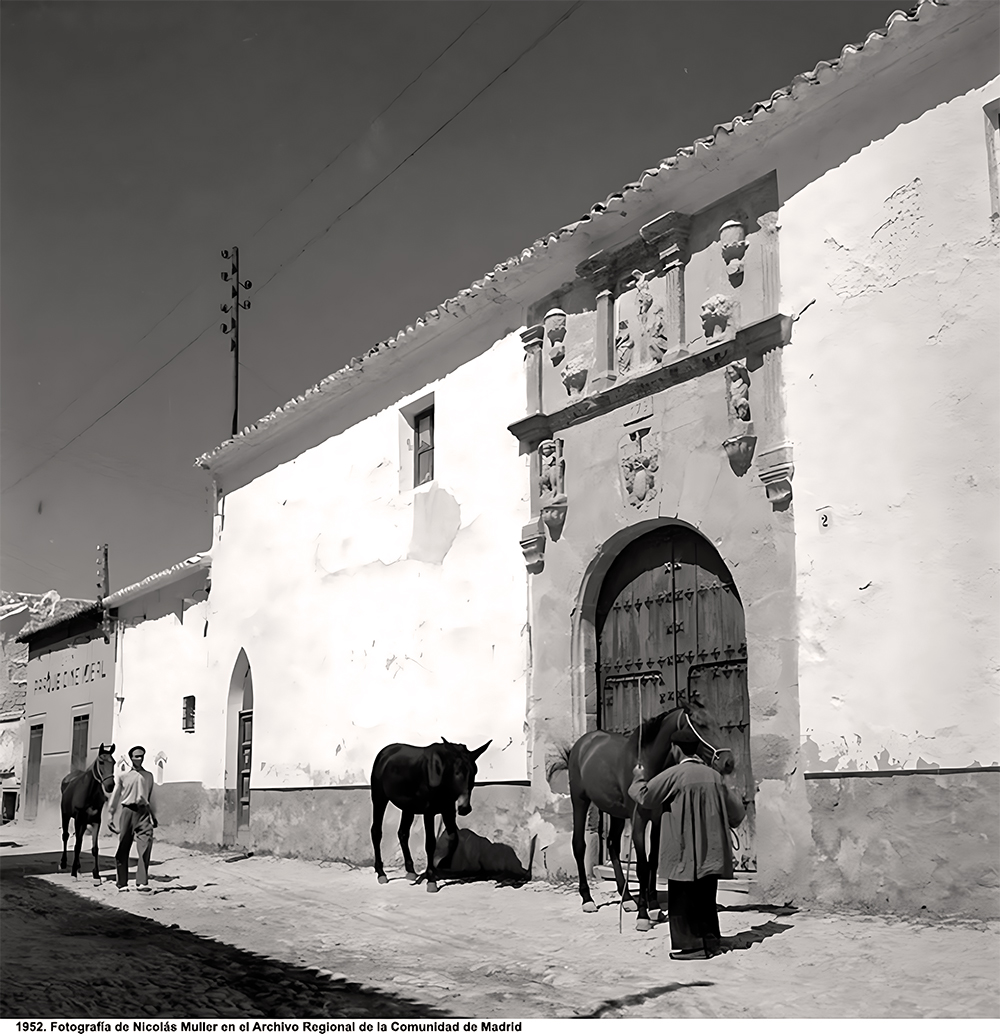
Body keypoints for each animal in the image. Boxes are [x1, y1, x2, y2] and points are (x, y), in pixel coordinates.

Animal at [60, 745, 117, 882]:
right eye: (101, 762)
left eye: (113, 762)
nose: (110, 786)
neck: (89, 792)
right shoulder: (78, 818)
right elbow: (77, 845)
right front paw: (74, 872)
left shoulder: (96, 821)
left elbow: (95, 848)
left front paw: (96, 874)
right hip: (66, 815)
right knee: (65, 836)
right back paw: (64, 863)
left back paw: (78, 866)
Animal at [368, 737, 489, 890]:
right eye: (456, 772)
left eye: (474, 772)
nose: (464, 808)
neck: (440, 776)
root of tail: (384, 752)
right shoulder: (429, 813)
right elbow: (430, 843)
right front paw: (431, 880)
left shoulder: (448, 810)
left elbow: (454, 837)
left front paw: (444, 863)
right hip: (379, 799)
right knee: (376, 832)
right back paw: (381, 873)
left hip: (408, 807)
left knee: (403, 833)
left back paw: (411, 871)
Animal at [567, 696, 733, 932]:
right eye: (701, 724)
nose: (728, 762)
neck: (646, 762)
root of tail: (584, 742)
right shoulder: (638, 820)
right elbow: (642, 866)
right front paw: (643, 916)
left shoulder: (657, 818)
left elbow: (653, 861)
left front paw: (654, 907)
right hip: (580, 801)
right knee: (579, 845)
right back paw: (587, 899)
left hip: (616, 812)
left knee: (613, 844)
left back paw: (627, 899)